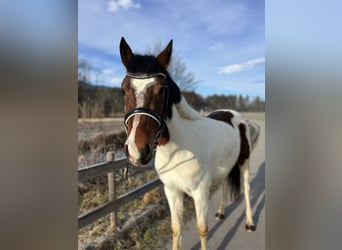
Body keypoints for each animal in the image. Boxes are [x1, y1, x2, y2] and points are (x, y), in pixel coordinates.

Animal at [119, 37, 255, 250]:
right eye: (124, 89)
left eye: (162, 90)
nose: (136, 150)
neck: (179, 150)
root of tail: (234, 115)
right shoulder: (172, 191)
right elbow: (176, 229)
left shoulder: (200, 193)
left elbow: (202, 229)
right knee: (225, 184)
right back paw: (221, 212)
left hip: (244, 163)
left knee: (247, 189)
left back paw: (249, 223)